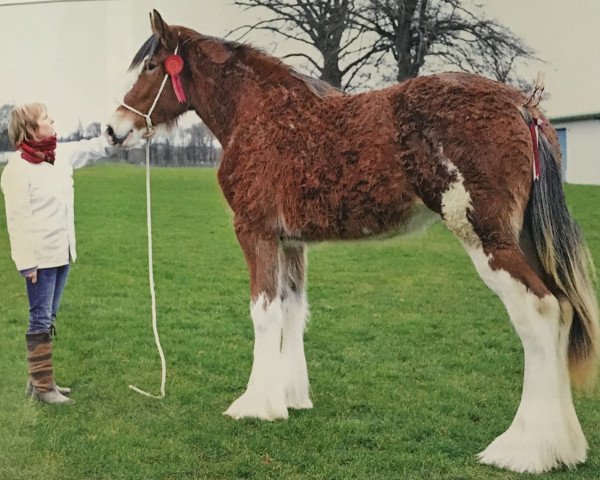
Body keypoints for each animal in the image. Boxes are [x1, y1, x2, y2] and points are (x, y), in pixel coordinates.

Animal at [108, 9, 600, 474]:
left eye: (151, 65)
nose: (114, 130)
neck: (260, 115)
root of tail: (523, 106)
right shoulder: (292, 242)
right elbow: (293, 310)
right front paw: (290, 396)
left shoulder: (256, 232)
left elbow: (263, 313)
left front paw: (255, 405)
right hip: (525, 241)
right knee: (563, 310)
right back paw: (565, 448)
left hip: (488, 239)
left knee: (540, 312)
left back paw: (524, 449)